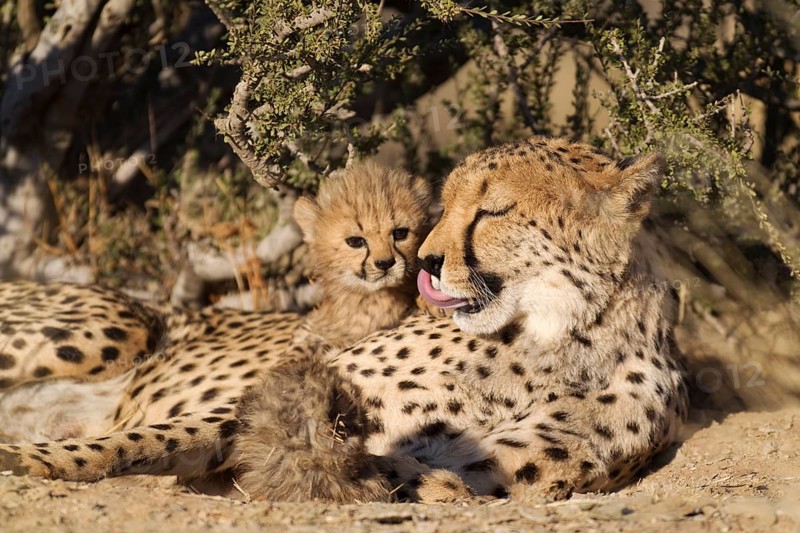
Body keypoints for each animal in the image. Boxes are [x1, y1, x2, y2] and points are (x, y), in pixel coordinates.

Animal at [0, 137, 688, 506]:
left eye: (493, 210)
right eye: (447, 204)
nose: (427, 261)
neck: (552, 337)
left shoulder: (500, 468)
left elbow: (392, 466)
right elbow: (141, 438)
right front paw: (31, 462)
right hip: (116, 324)